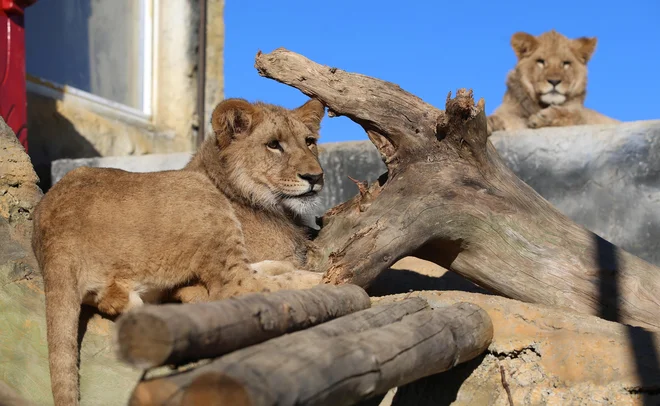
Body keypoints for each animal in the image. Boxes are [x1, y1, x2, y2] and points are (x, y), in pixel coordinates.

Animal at [33, 96, 328, 406]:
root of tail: (55, 240)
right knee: (237, 286)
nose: (315, 177)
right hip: (201, 196)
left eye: (310, 141)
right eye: (273, 144)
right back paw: (321, 279)